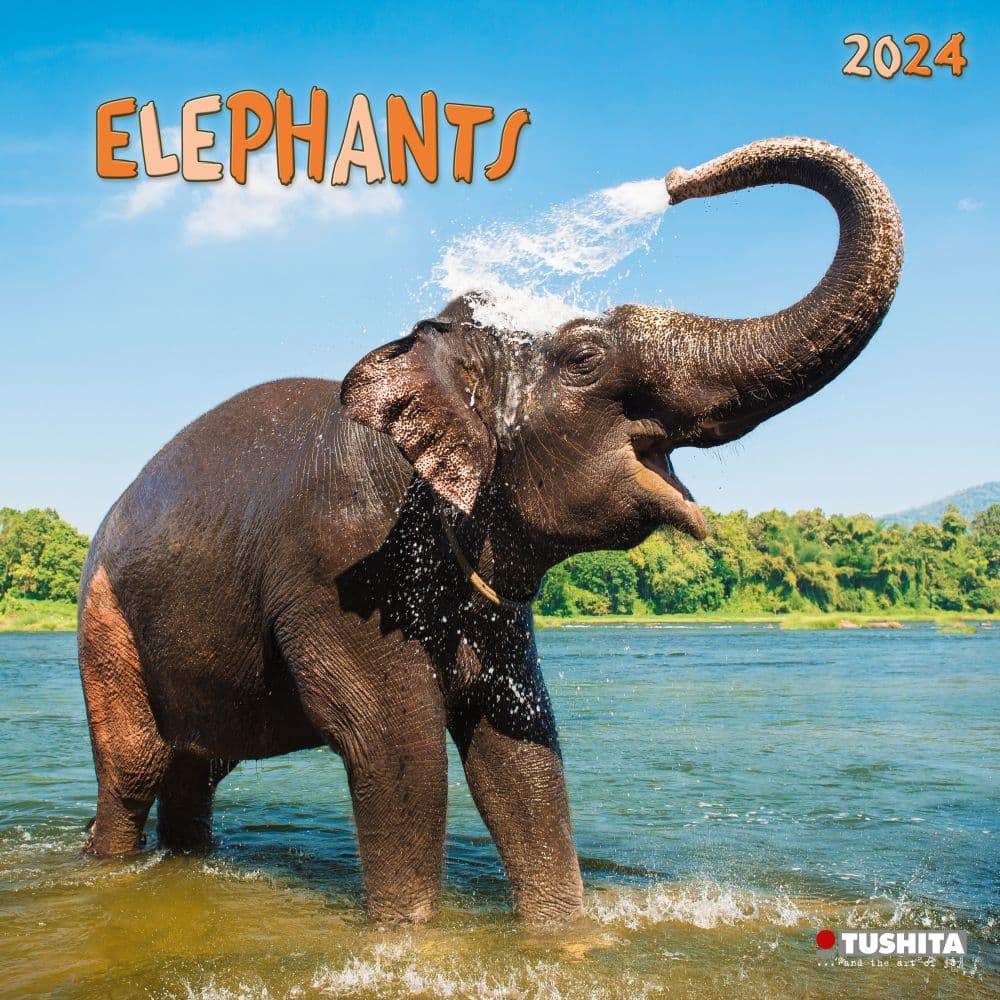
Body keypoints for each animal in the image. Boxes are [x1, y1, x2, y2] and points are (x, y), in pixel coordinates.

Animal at [77, 137, 903, 924]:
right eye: (585, 357)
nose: (674, 179)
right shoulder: (340, 567)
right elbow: (397, 749)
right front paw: (409, 939)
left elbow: (519, 751)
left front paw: (566, 936)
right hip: (103, 620)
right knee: (136, 768)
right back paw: (107, 865)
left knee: (197, 769)